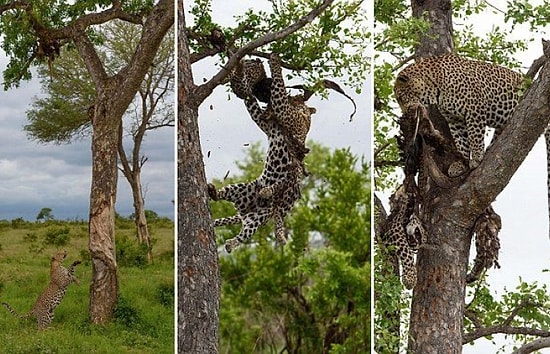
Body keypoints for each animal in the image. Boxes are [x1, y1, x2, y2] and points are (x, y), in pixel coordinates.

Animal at [209, 53, 316, 252]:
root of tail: (246, 210)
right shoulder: (265, 121)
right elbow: (252, 102)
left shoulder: (284, 111)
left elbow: (278, 86)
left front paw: (274, 61)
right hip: (241, 189)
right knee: (223, 195)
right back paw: (213, 191)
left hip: (257, 218)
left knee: (245, 234)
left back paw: (230, 244)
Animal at [394, 54, 524, 176]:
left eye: (400, 98)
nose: (405, 113)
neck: (434, 89)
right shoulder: (455, 120)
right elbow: (461, 142)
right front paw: (461, 164)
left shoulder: (474, 109)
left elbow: (474, 136)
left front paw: (476, 157)